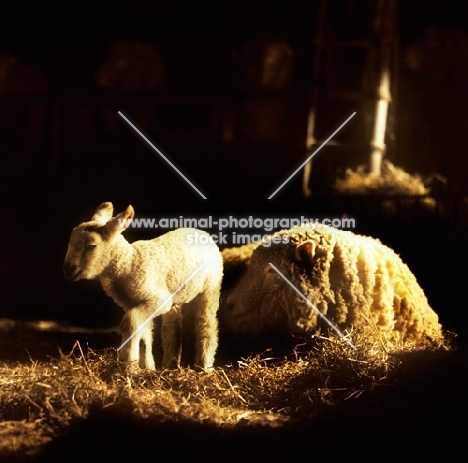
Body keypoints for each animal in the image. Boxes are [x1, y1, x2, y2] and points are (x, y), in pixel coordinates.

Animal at [63, 204, 223, 374]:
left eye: (91, 246)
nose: (67, 270)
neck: (129, 263)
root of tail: (202, 232)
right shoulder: (133, 303)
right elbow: (144, 333)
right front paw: (147, 366)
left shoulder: (156, 300)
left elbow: (130, 324)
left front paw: (129, 364)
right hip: (176, 293)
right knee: (171, 326)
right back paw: (170, 364)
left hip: (211, 285)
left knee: (206, 323)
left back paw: (204, 366)